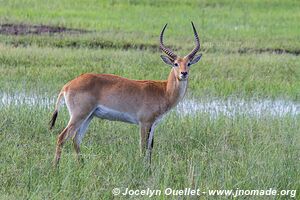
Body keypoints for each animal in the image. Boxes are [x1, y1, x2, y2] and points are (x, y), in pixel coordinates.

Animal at [49, 21, 202, 166]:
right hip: (79, 115)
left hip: (89, 116)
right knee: (62, 137)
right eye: (175, 63)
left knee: (76, 139)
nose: (183, 73)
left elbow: (150, 149)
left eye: (189, 63)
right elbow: (143, 148)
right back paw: (55, 168)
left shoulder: (153, 125)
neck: (164, 90)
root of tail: (67, 85)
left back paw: (82, 166)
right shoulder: (144, 123)